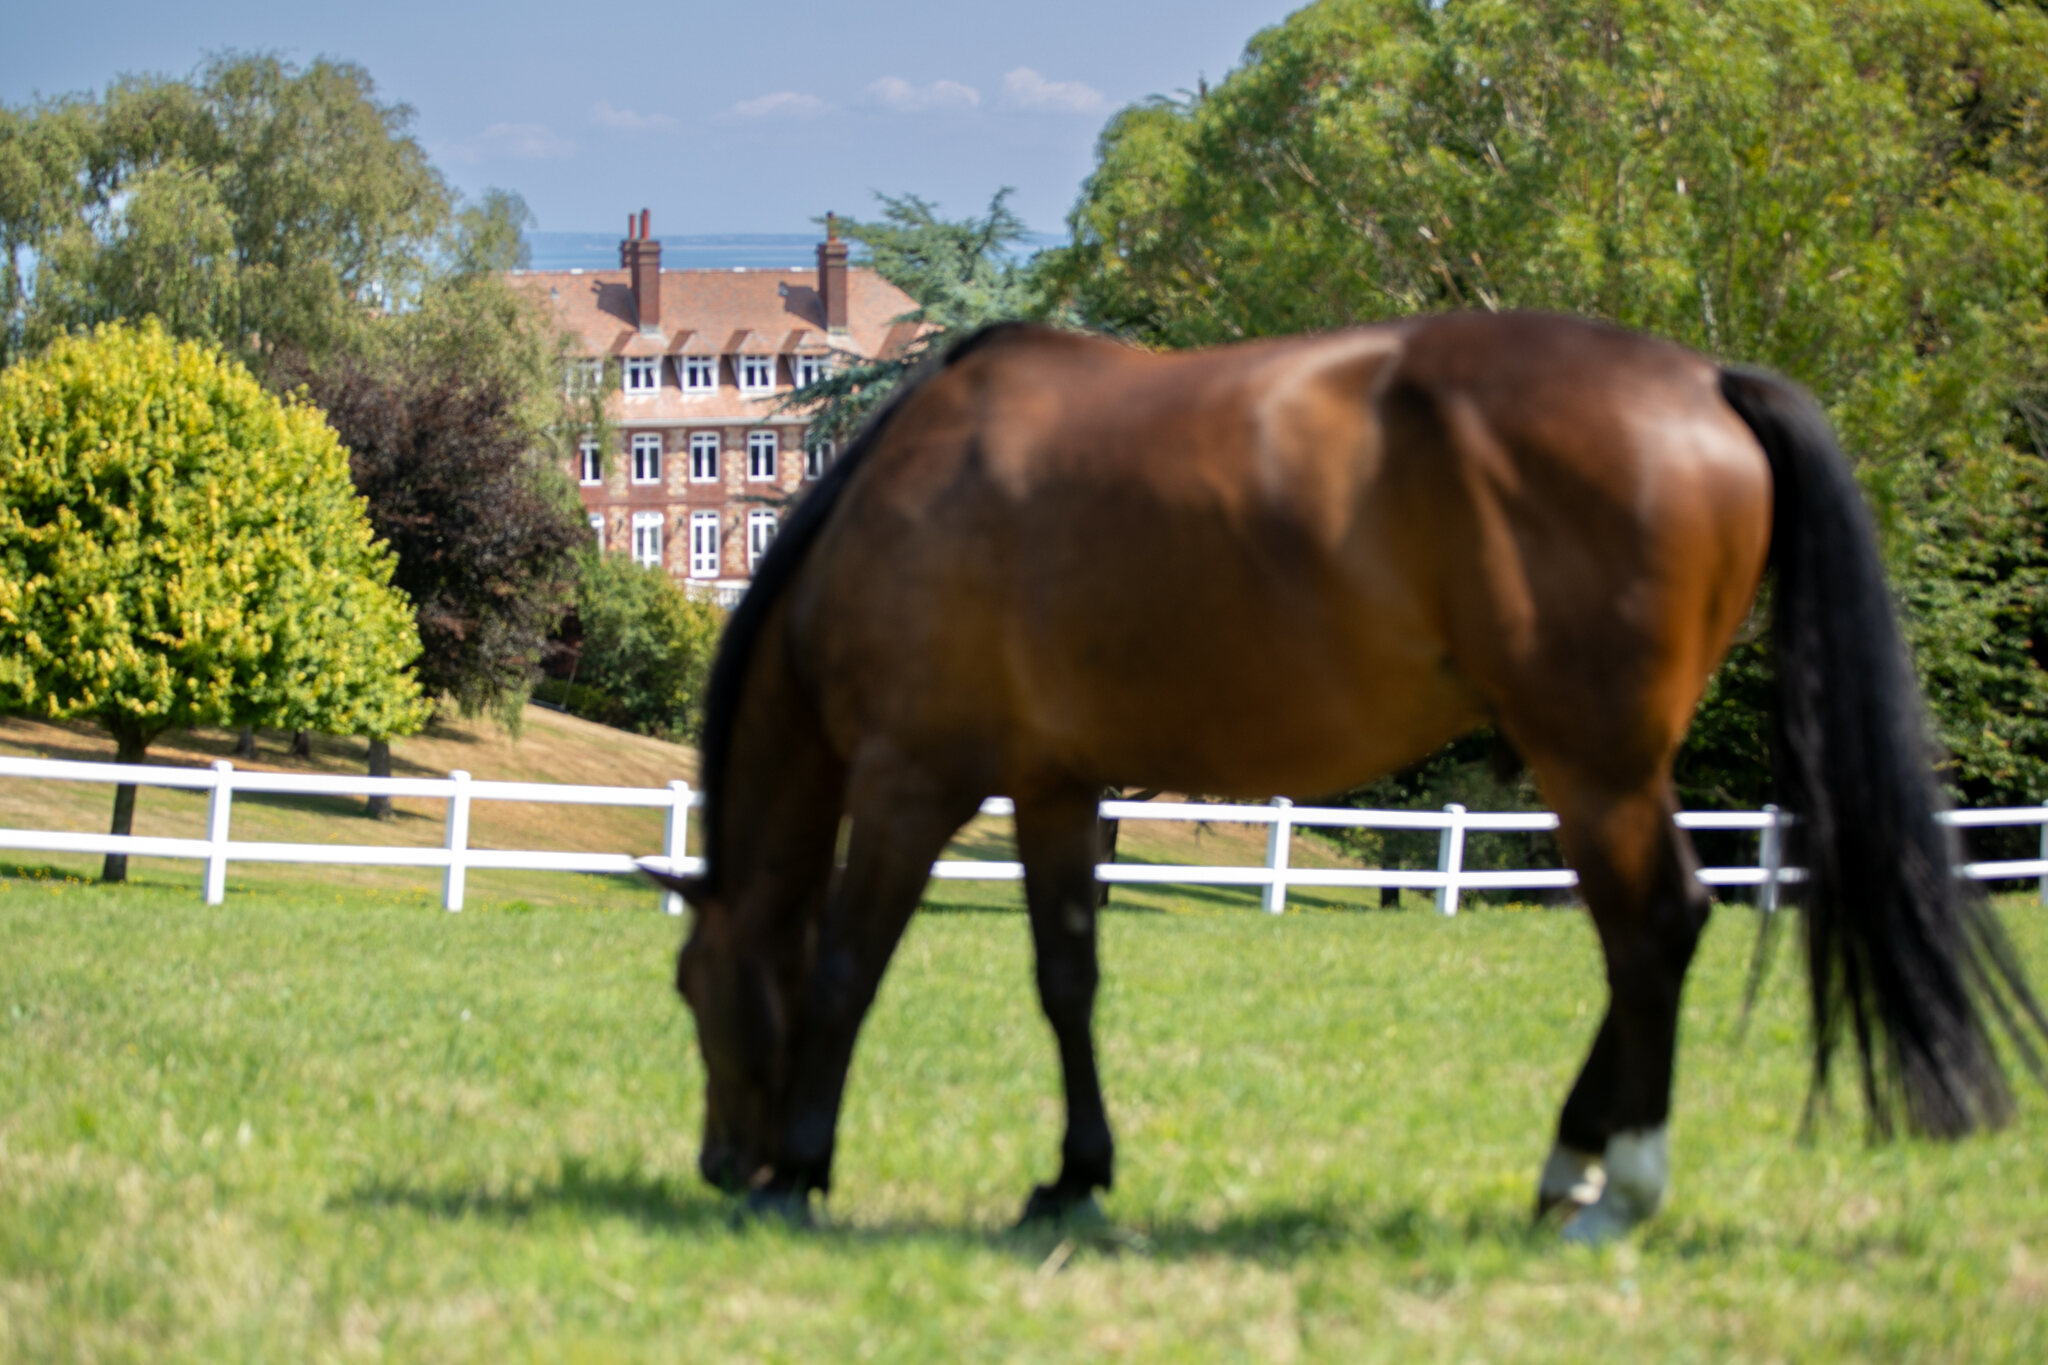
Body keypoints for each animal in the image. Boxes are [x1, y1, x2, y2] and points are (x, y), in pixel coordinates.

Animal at [643, 312, 2046, 1243]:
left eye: (693, 986)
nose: (716, 1162)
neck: (896, 512)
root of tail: (1705, 380)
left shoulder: (908, 782)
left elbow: (843, 968)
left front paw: (801, 1167)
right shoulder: (1054, 789)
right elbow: (1065, 980)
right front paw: (1073, 1174)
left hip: (1590, 765)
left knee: (1653, 925)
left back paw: (1615, 1187)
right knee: (1644, 938)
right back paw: (1570, 1168)